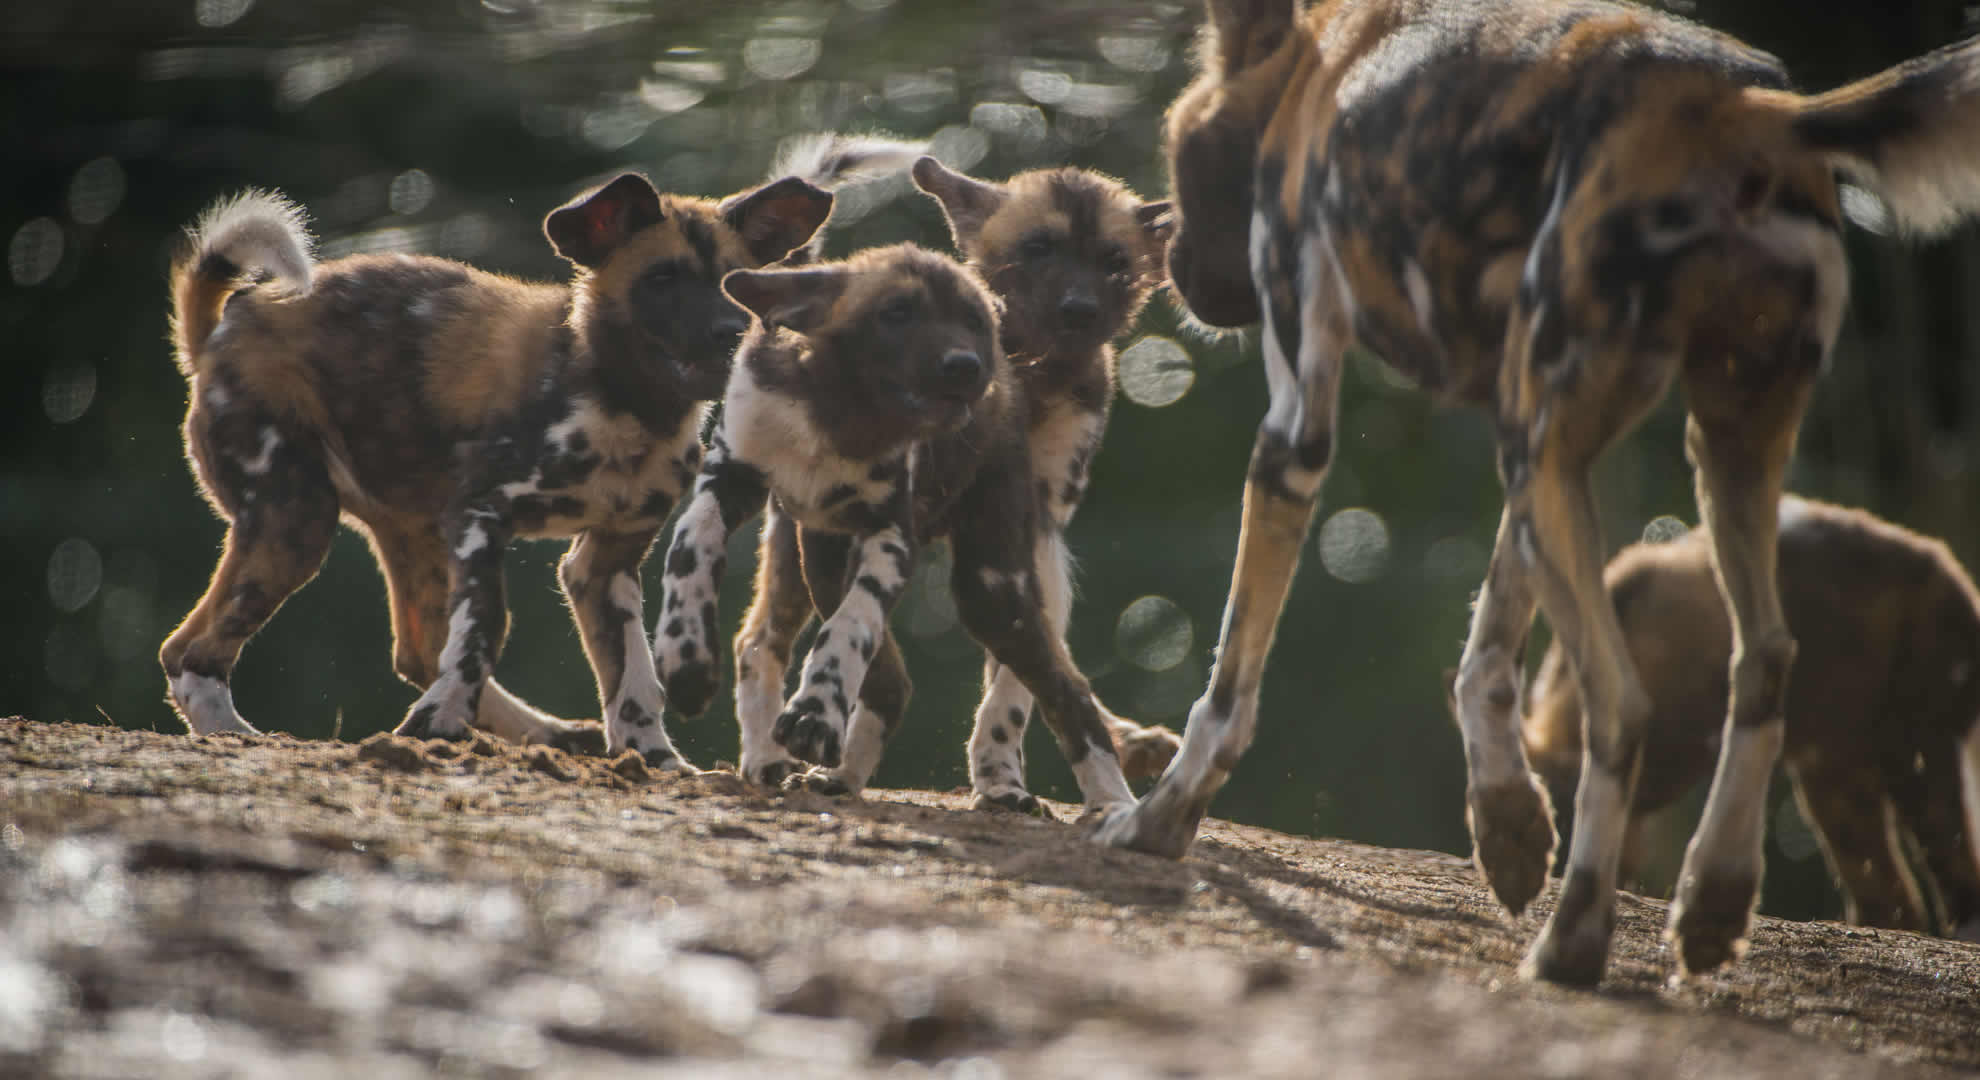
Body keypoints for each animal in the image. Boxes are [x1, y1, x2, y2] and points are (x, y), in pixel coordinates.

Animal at [158, 170, 831, 764]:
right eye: (662, 279)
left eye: (733, 282)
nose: (732, 330)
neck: (625, 406)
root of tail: (224, 328)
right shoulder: (482, 516)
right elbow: (486, 627)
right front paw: (444, 717)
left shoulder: (604, 562)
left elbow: (631, 674)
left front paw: (652, 756)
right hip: (296, 519)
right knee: (187, 650)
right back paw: (233, 733)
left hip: (405, 529)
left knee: (420, 648)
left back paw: (547, 733)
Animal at [653, 243, 1140, 812]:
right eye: (896, 314)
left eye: (975, 324)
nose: (966, 366)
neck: (838, 417)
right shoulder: (727, 482)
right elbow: (691, 547)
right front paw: (686, 658)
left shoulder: (889, 539)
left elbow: (851, 627)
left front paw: (815, 715)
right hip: (820, 562)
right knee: (892, 682)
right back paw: (840, 776)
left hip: (993, 596)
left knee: (1067, 690)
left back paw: (1114, 804)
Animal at [732, 153, 1188, 808]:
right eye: (1037, 248)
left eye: (1114, 263)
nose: (1079, 310)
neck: (1031, 370)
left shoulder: (1034, 536)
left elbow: (1018, 683)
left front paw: (999, 773)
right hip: (796, 548)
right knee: (760, 640)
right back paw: (769, 756)